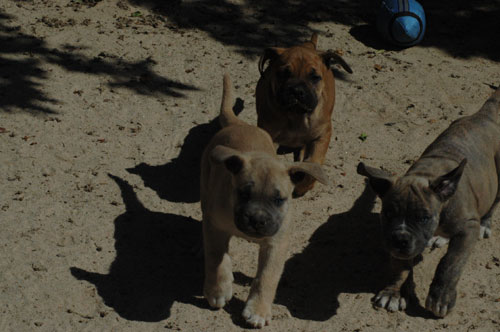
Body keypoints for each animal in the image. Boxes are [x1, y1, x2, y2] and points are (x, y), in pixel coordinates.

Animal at [199, 73, 328, 326]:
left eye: (279, 200)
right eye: (243, 194)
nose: (257, 220)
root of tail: (240, 125)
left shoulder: (277, 243)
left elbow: (267, 276)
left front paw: (258, 308)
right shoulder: (213, 224)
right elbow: (215, 257)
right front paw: (218, 289)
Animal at [258, 32, 352, 196]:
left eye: (315, 77)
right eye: (283, 74)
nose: (296, 90)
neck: (296, 116)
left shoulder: (322, 137)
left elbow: (314, 165)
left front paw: (303, 186)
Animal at [358, 87, 500, 318]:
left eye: (424, 218)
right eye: (387, 214)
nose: (399, 239)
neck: (425, 174)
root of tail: (484, 115)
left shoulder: (468, 228)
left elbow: (450, 263)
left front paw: (440, 297)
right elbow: (400, 266)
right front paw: (394, 293)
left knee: (495, 201)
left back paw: (485, 224)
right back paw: (439, 237)